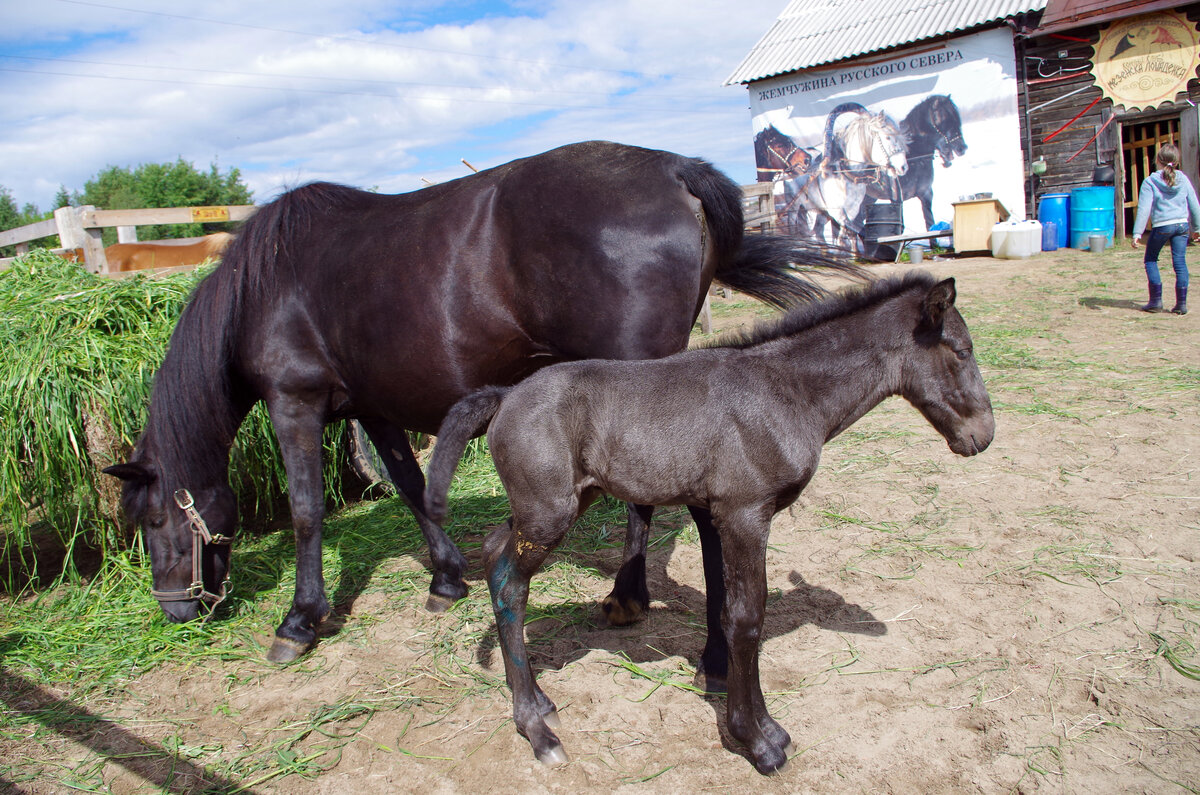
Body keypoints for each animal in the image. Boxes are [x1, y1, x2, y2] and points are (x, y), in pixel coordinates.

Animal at [427, 276, 998, 778]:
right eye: (961, 351)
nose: (983, 435)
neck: (785, 390)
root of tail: (503, 396)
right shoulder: (745, 513)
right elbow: (747, 618)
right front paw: (758, 740)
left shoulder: (720, 514)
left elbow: (725, 606)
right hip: (549, 514)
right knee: (508, 580)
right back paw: (536, 729)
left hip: (557, 504)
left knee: (496, 553)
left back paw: (539, 701)